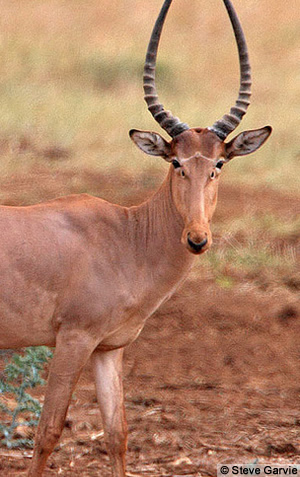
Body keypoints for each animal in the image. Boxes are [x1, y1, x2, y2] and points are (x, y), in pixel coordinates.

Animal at [0, 0, 270, 476]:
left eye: (218, 164)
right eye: (177, 162)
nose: (197, 238)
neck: (126, 235)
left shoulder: (109, 350)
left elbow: (117, 434)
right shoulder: (73, 341)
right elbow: (47, 433)